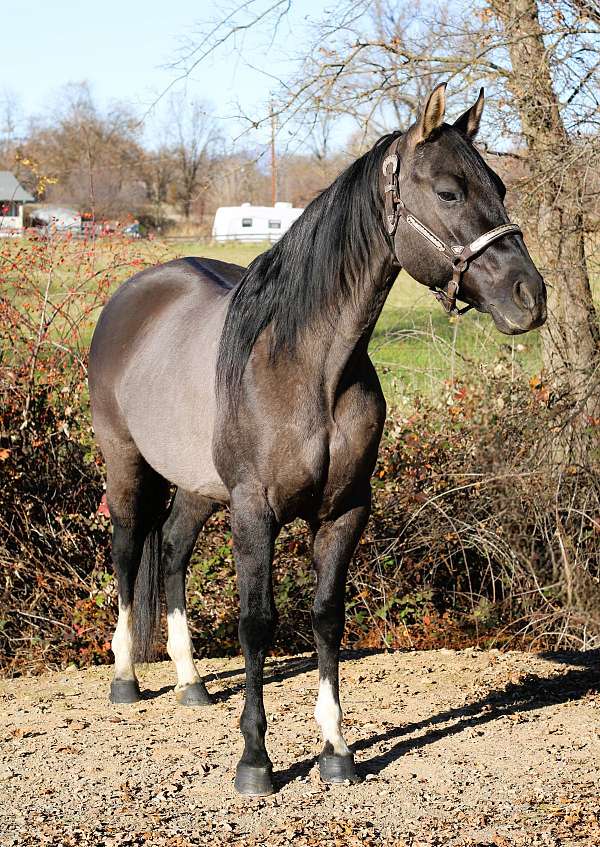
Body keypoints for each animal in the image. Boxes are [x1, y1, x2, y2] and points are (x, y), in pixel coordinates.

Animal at [88, 83, 544, 800]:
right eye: (448, 191)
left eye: (497, 185)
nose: (530, 295)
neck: (308, 366)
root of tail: (131, 297)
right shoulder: (256, 512)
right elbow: (257, 622)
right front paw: (255, 760)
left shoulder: (344, 511)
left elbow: (327, 616)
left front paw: (336, 749)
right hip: (128, 467)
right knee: (130, 553)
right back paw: (126, 678)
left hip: (197, 486)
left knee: (174, 552)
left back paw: (190, 681)